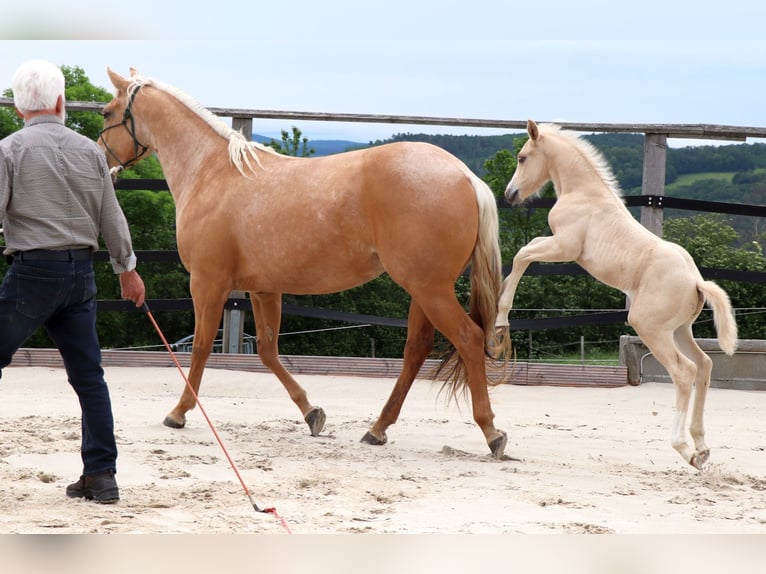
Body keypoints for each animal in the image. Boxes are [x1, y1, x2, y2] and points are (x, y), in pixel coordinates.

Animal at [98, 68, 512, 457]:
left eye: (106, 113)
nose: (102, 160)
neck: (213, 172)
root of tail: (465, 176)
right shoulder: (263, 289)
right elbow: (267, 351)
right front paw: (312, 413)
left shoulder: (207, 282)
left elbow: (201, 347)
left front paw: (178, 413)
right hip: (422, 289)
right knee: (416, 349)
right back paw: (378, 429)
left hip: (430, 289)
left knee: (469, 338)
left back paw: (491, 432)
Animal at [494, 120, 738, 470]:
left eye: (522, 157)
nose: (510, 194)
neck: (584, 193)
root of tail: (696, 280)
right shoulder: (557, 243)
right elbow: (527, 250)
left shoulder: (565, 247)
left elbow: (522, 255)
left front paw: (501, 318)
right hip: (680, 329)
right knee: (704, 366)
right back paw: (702, 447)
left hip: (651, 328)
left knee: (684, 372)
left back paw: (685, 448)